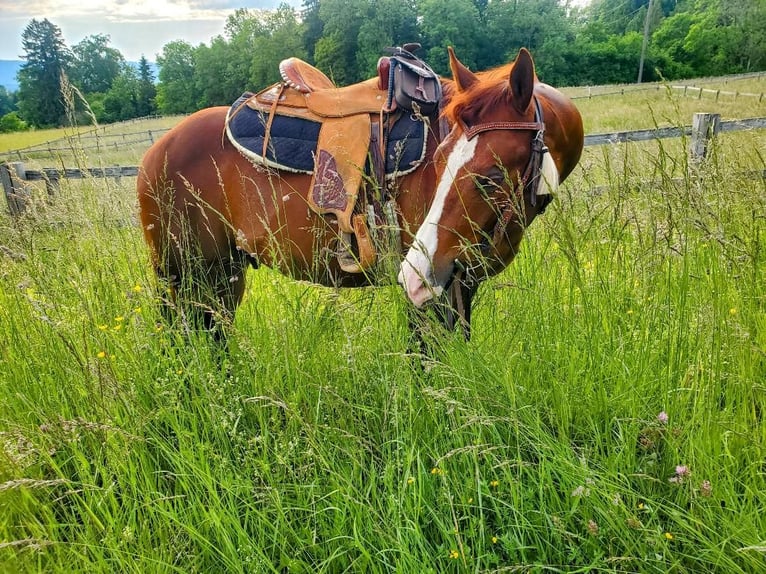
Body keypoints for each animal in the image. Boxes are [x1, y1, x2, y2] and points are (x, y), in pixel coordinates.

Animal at [136, 47, 583, 343]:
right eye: (439, 159)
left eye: (491, 176)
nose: (415, 271)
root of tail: (154, 154)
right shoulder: (435, 290)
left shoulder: (457, 283)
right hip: (189, 277)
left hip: (221, 278)